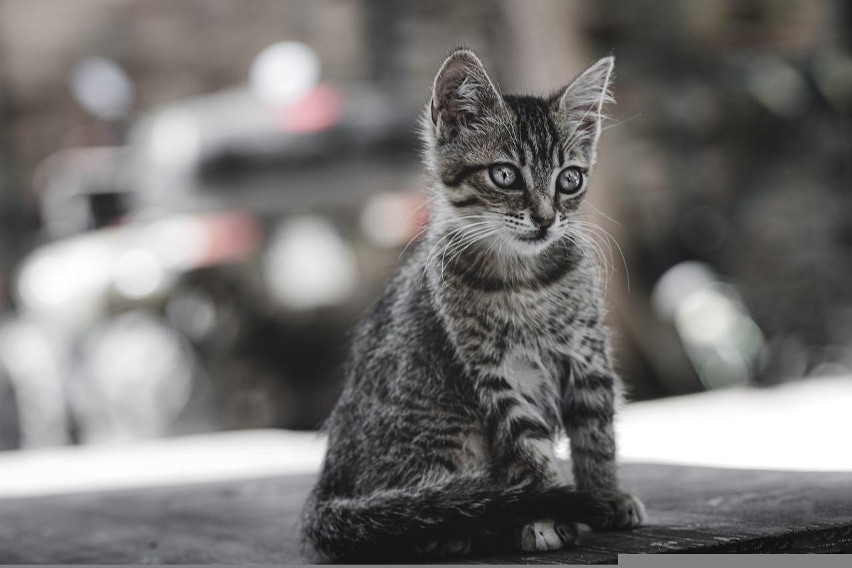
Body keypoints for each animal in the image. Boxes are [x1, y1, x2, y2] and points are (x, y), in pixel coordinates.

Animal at [300, 47, 644, 560]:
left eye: (569, 179)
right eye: (505, 175)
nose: (546, 219)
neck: (524, 281)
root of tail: (328, 483)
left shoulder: (588, 356)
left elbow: (596, 434)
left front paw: (605, 496)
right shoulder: (496, 373)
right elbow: (526, 448)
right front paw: (544, 512)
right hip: (443, 429)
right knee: (419, 507)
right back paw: (455, 524)